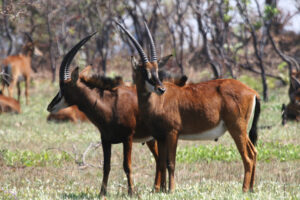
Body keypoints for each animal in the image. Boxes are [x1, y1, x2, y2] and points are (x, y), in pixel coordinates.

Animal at [47, 33, 188, 196]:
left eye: (63, 87)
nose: (50, 106)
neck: (110, 105)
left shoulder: (127, 138)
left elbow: (127, 165)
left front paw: (131, 192)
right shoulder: (106, 140)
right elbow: (106, 166)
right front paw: (102, 193)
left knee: (160, 160)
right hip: (153, 139)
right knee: (159, 159)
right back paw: (156, 188)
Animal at [116, 21, 262, 193]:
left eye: (157, 70)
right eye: (145, 71)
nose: (161, 89)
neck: (159, 102)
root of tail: (252, 92)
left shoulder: (173, 133)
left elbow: (170, 163)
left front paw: (171, 190)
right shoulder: (160, 136)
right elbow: (161, 163)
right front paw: (162, 191)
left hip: (237, 128)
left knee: (247, 157)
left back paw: (244, 189)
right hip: (241, 129)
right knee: (253, 152)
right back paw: (251, 189)